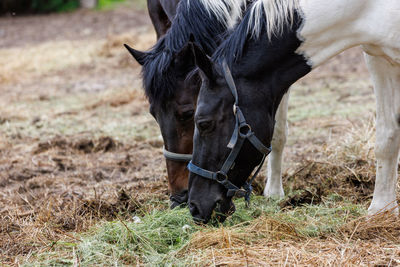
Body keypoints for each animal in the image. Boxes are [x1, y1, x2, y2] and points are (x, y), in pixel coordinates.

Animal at [188, 0, 400, 224]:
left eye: (203, 123)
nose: (194, 207)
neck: (368, 7)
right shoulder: (378, 59)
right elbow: (386, 139)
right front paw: (381, 210)